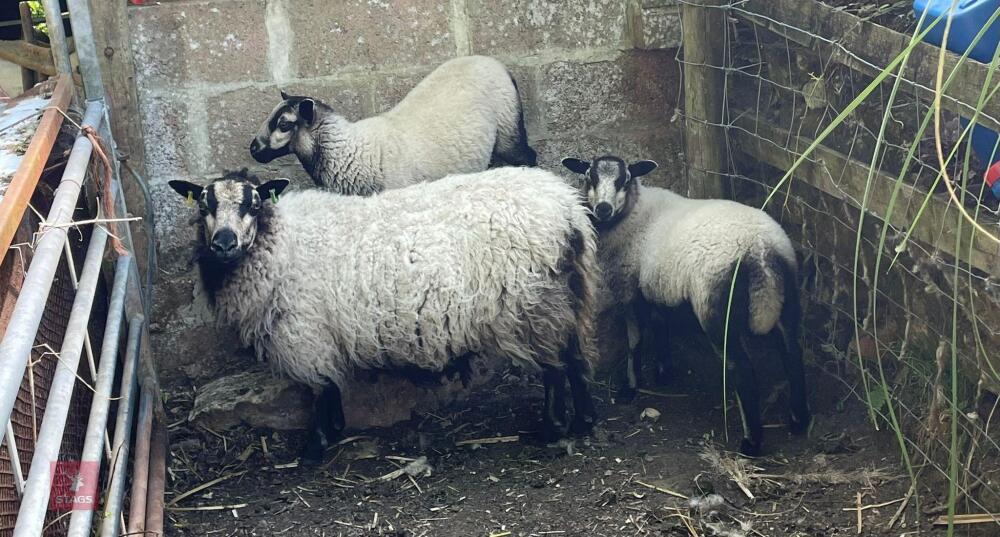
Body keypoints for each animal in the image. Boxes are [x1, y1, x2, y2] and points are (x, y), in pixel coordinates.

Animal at [168, 167, 597, 462]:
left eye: (253, 205)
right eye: (204, 206)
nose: (224, 243)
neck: (277, 242)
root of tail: (569, 210)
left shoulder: (306, 333)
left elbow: (320, 389)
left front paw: (315, 447)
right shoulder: (317, 335)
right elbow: (330, 386)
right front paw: (336, 430)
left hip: (533, 305)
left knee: (555, 368)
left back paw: (552, 429)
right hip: (567, 297)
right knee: (576, 359)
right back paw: (584, 422)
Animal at [249, 56, 537, 195]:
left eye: (284, 124)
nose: (253, 149)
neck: (352, 151)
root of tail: (496, 64)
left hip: (509, 130)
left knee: (528, 157)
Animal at [561, 155, 810, 456]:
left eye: (625, 179)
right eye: (590, 176)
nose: (603, 208)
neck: (633, 212)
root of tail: (761, 249)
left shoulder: (630, 287)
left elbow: (635, 340)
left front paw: (630, 388)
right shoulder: (656, 286)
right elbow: (660, 325)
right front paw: (663, 372)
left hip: (715, 307)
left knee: (742, 370)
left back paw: (751, 442)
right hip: (788, 296)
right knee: (792, 353)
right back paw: (798, 420)